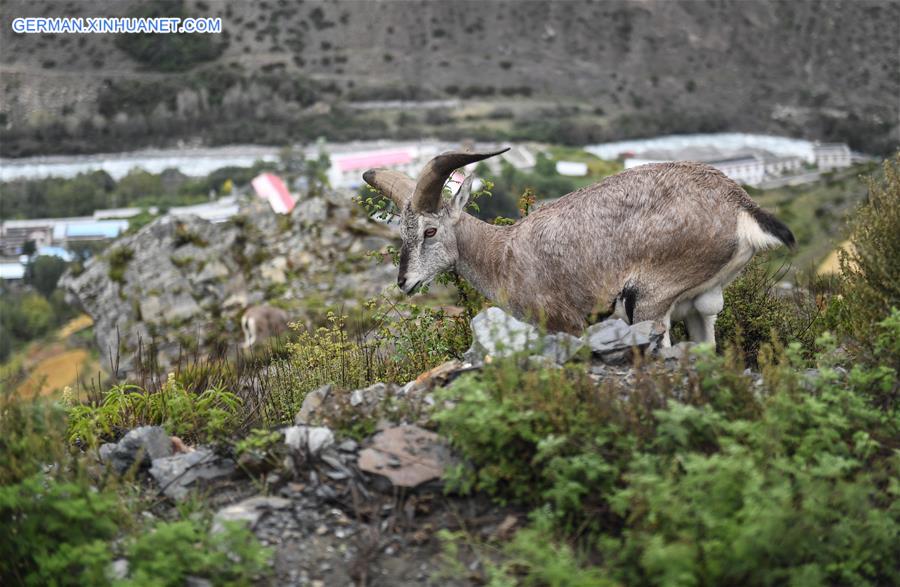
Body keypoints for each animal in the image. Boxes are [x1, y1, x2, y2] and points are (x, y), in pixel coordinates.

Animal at [362, 148, 794, 347]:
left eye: (430, 231)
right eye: (402, 230)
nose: (404, 282)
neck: (503, 255)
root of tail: (738, 203)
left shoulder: (563, 323)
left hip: (650, 302)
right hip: (703, 304)